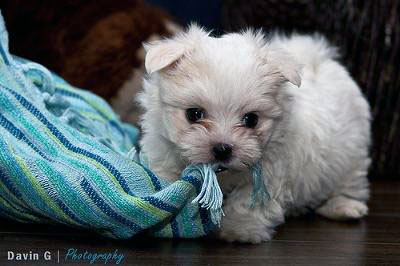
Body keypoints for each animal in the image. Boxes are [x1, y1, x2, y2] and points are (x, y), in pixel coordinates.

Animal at [138, 26, 372, 244]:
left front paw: (239, 230)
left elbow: (248, 201)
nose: (222, 148)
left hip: (351, 153)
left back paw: (344, 206)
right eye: (194, 114)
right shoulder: (164, 150)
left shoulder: (271, 168)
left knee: (350, 180)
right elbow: (168, 179)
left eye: (251, 119)